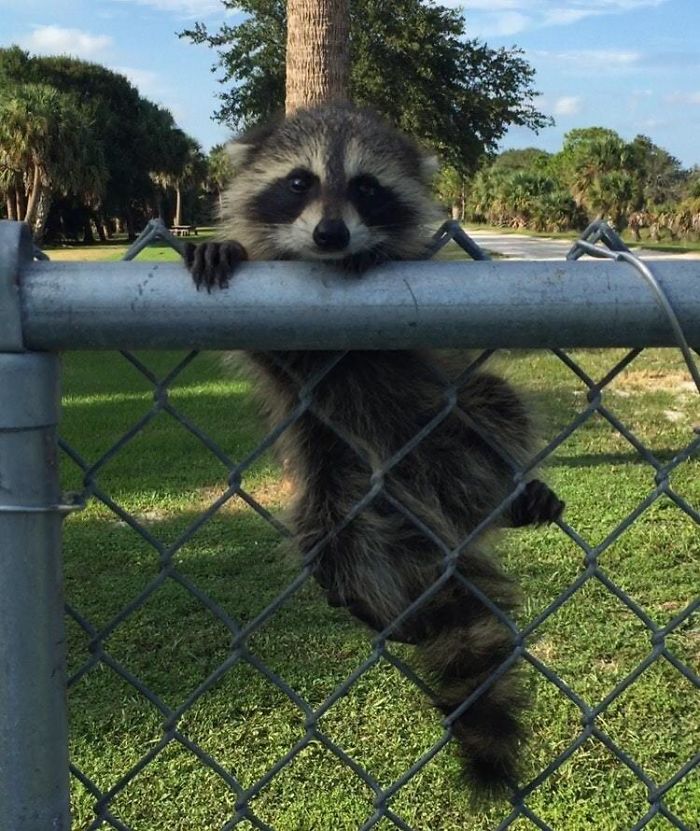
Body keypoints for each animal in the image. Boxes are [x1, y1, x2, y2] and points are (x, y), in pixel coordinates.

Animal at [185, 104, 563, 797]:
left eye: (366, 187)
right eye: (300, 183)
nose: (332, 235)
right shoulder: (284, 356)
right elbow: (271, 353)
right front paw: (229, 244)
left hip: (450, 437)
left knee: (495, 403)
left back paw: (509, 498)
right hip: (338, 472)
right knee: (328, 536)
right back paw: (365, 601)